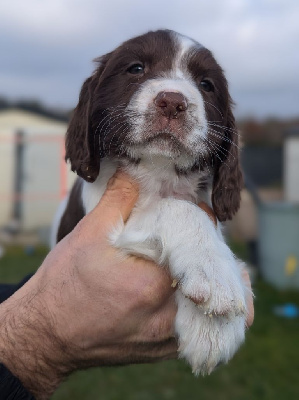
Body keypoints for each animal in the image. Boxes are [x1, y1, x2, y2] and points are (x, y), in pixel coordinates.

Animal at [52, 30, 250, 376]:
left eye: (206, 85)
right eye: (135, 68)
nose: (172, 102)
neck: (158, 171)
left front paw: (213, 328)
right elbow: (177, 209)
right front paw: (216, 277)